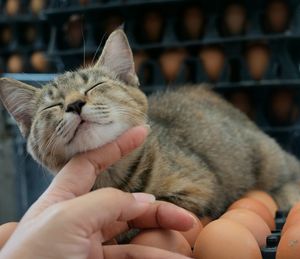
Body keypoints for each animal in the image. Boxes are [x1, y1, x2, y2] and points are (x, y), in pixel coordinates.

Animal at [0, 29, 300, 219]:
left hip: (267, 157)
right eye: (52, 106)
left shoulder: (201, 189)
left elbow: (144, 213)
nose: (74, 104)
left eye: (95, 86)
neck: (111, 174)